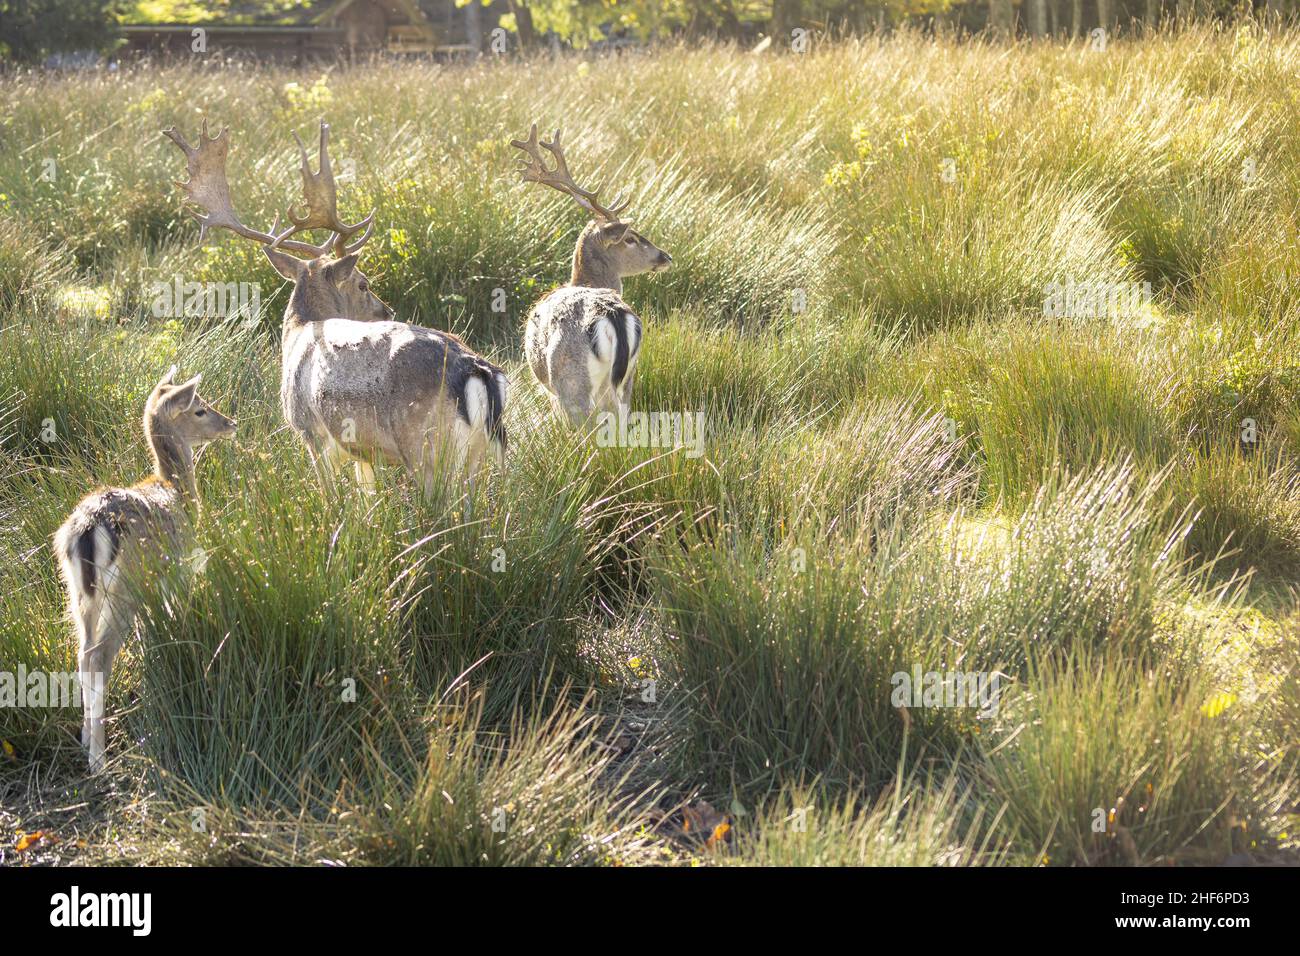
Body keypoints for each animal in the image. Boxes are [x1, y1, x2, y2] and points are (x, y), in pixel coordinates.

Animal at [52, 366, 236, 770]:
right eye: (199, 408)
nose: (231, 423)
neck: (176, 488)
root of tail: (88, 529)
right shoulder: (178, 571)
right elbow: (173, 615)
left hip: (77, 592)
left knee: (81, 651)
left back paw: (85, 736)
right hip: (126, 586)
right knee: (98, 655)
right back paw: (98, 758)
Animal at [163, 120, 506, 496]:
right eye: (364, 284)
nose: (386, 311)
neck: (299, 331)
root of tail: (473, 369)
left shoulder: (310, 431)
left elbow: (329, 495)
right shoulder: (362, 453)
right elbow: (366, 494)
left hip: (424, 446)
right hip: (480, 453)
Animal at [506, 125, 670, 424]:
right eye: (630, 238)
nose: (665, 256)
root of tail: (612, 316)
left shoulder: (549, 387)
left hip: (569, 377)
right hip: (628, 376)